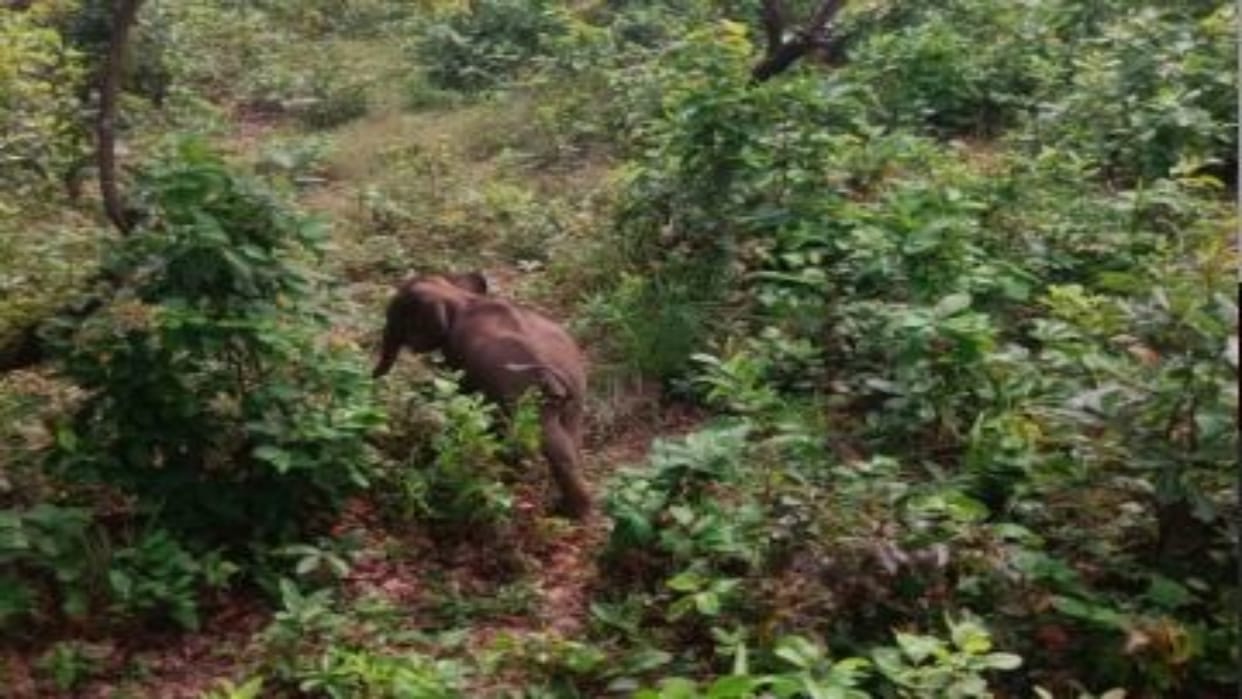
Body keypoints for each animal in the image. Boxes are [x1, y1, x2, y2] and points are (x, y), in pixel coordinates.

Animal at [372, 272, 592, 518]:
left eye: (397, 313)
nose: (371, 381)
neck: (457, 294)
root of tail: (556, 373)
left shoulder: (457, 353)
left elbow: (460, 389)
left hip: (532, 396)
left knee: (552, 440)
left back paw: (571, 512)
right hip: (577, 389)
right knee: (571, 436)